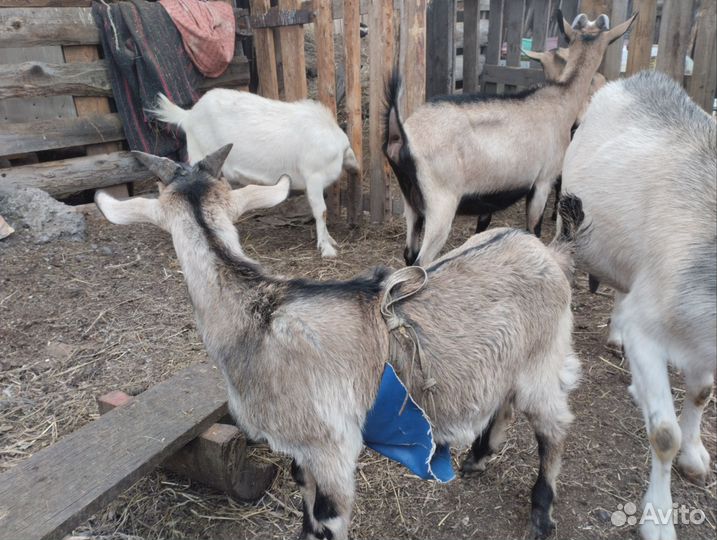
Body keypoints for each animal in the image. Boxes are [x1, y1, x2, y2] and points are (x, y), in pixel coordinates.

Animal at [95, 145, 583, 540]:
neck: (259, 316)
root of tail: (548, 251)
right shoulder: (301, 450)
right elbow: (305, 506)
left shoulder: (331, 448)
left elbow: (326, 521)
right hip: (511, 360)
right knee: (506, 400)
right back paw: (479, 457)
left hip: (545, 357)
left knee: (554, 427)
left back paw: (542, 515)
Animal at [150, 89, 359, 258]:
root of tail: (188, 115)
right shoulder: (313, 177)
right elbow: (321, 211)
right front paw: (326, 248)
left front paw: (330, 240)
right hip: (199, 155)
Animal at [384, 10, 636, 266]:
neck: (561, 99)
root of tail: (402, 136)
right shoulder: (543, 180)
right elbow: (534, 228)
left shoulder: (490, 192)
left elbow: (483, 226)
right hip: (440, 202)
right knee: (421, 261)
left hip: (412, 202)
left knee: (409, 254)